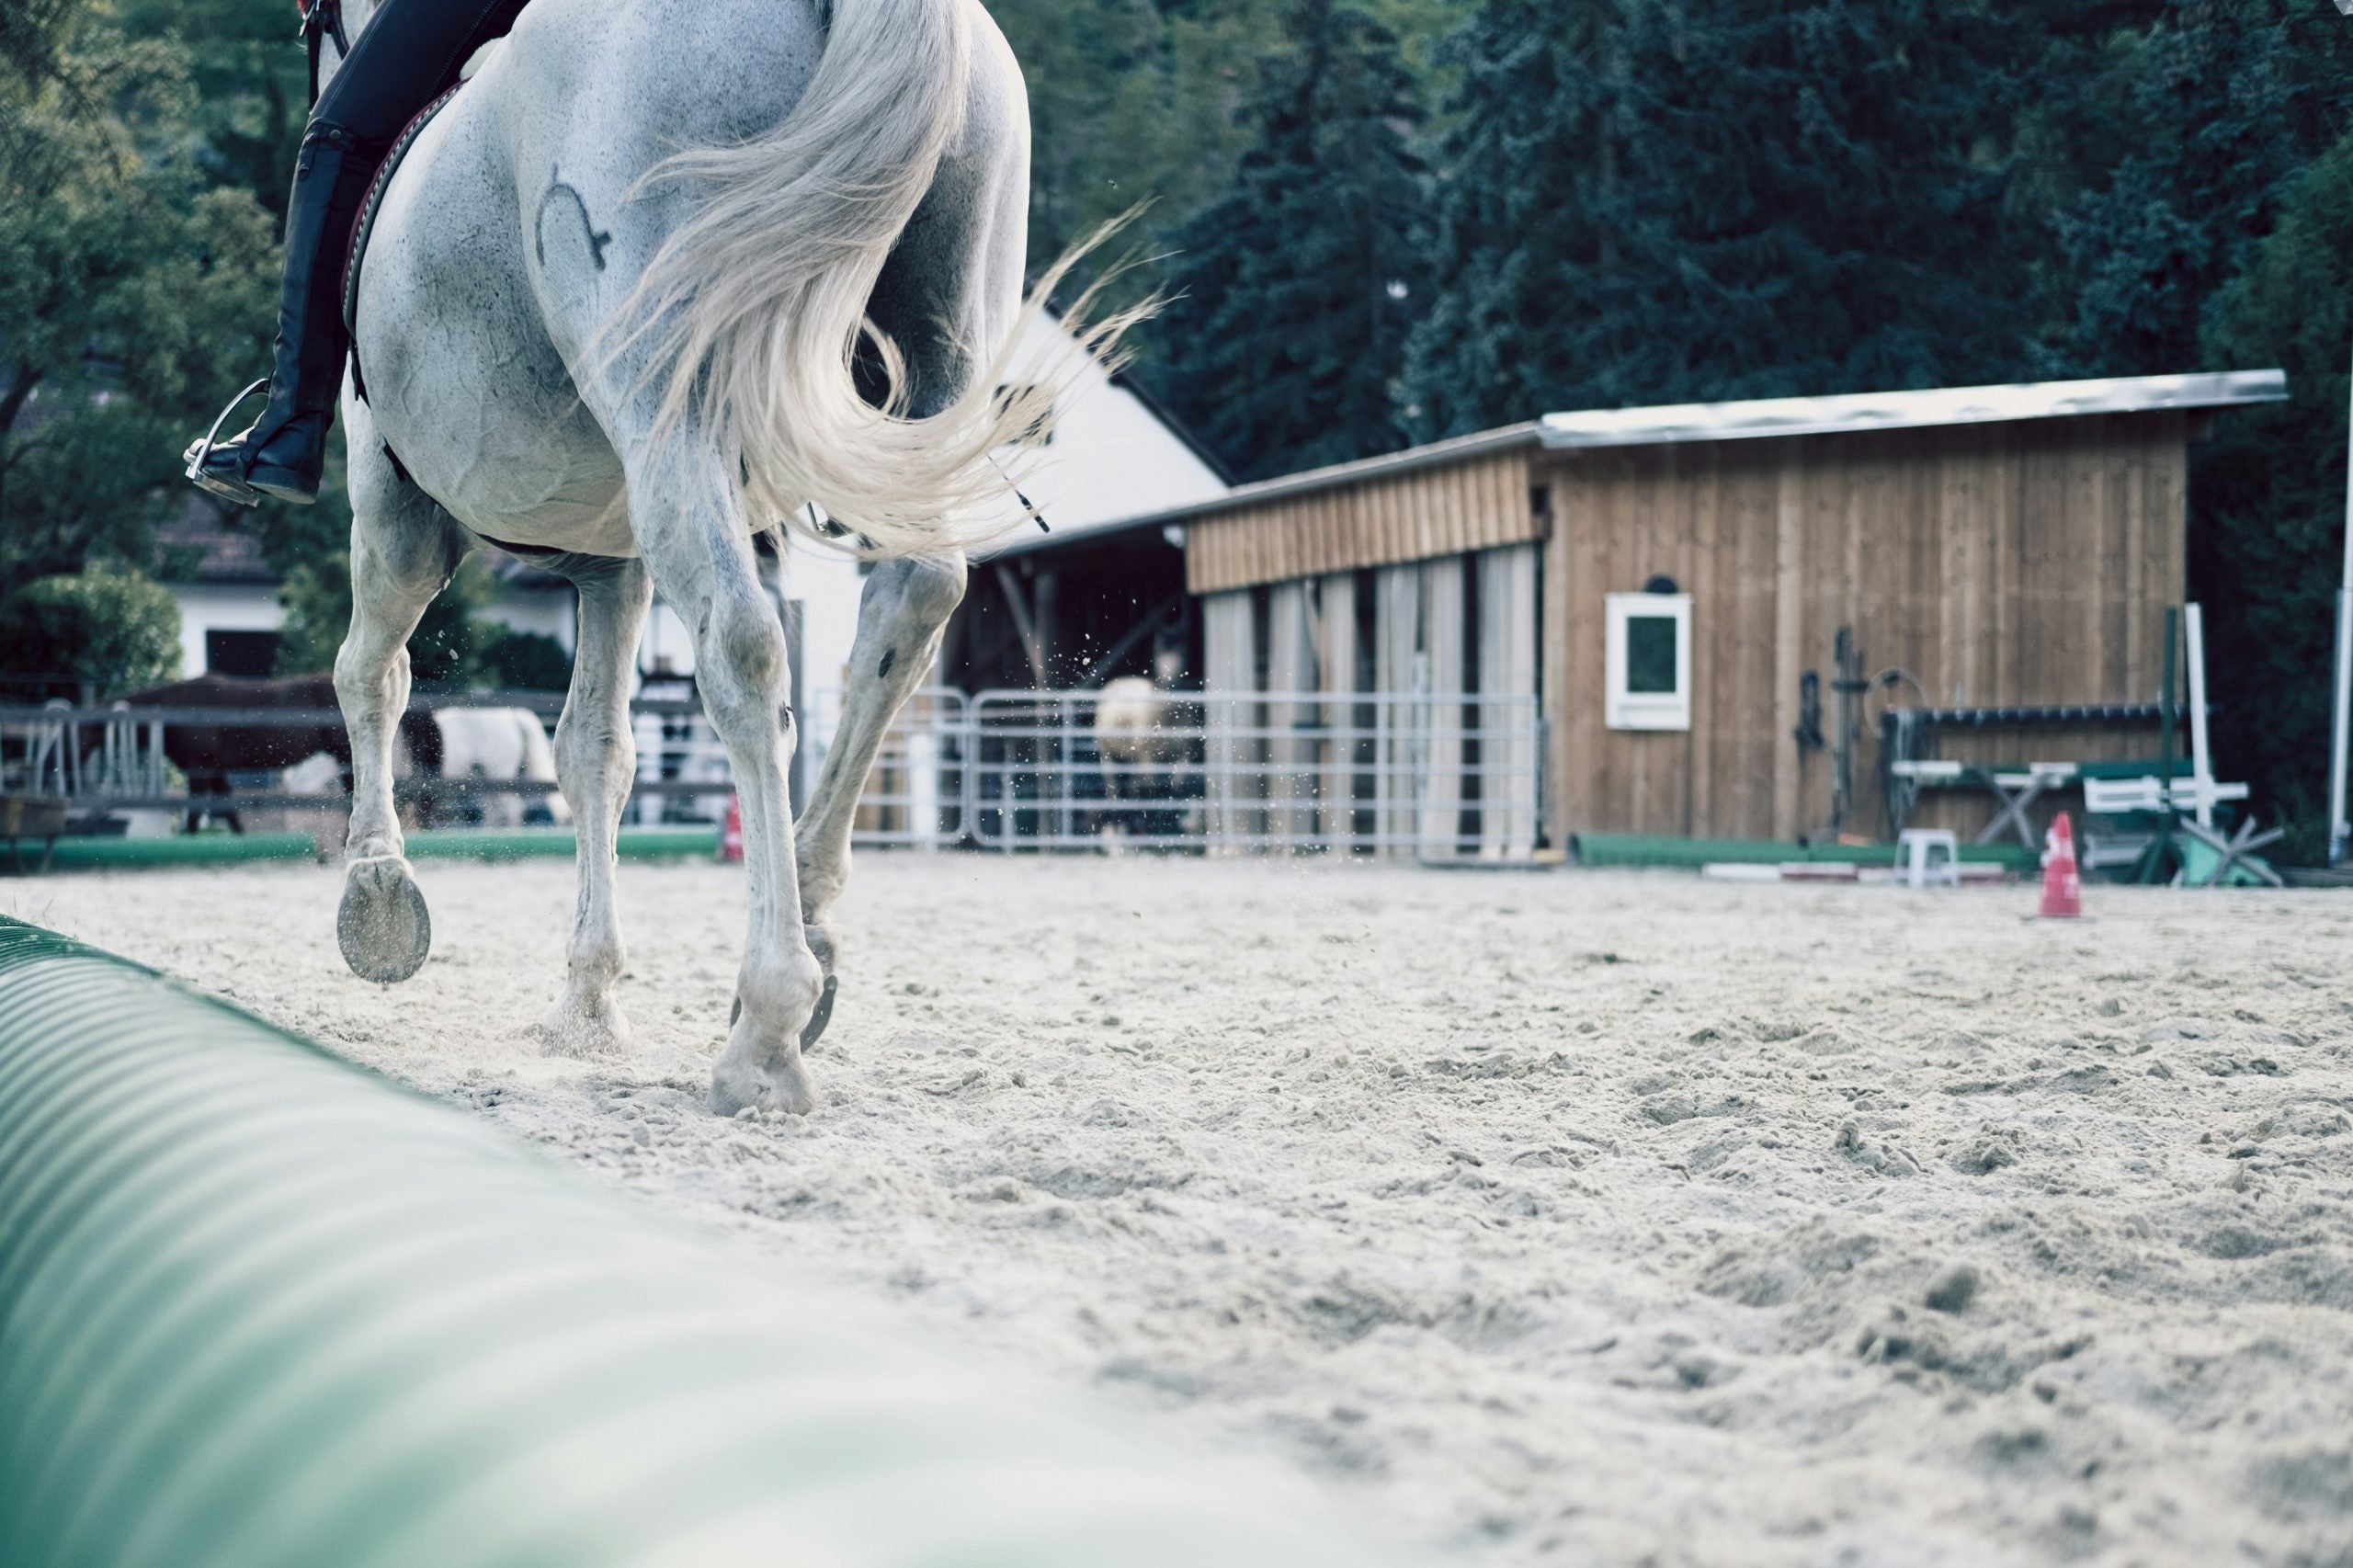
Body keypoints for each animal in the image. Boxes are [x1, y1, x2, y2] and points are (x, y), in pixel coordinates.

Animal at [321, 0, 1124, 1116]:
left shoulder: (393, 500)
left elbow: (373, 675)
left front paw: (377, 892)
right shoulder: (611, 559)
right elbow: (596, 751)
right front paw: (588, 1001)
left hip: (669, 398)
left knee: (746, 651)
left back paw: (769, 1024)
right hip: (939, 342)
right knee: (909, 602)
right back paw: (812, 932)